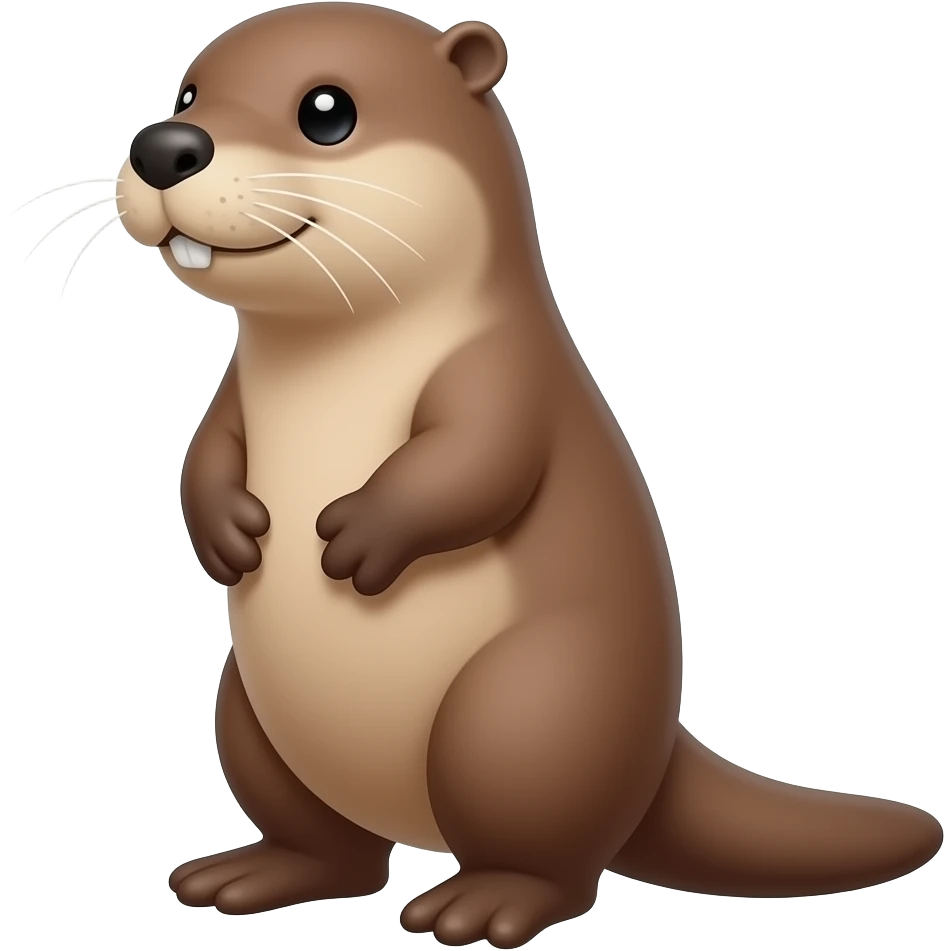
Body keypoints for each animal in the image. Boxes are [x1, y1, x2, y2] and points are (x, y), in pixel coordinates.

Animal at [81, 3, 940, 946]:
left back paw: (484, 902)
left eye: (326, 110)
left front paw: (359, 537)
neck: (336, 367)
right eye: (188, 92)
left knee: (550, 857)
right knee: (336, 850)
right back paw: (253, 873)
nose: (164, 146)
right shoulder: (233, 392)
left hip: (526, 709)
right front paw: (224, 533)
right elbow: (206, 451)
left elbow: (476, 459)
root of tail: (657, 753)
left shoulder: (505, 373)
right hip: (248, 710)